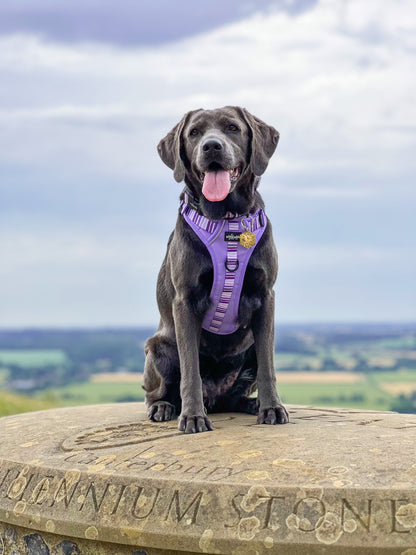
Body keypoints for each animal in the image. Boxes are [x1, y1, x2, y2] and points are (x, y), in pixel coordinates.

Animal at [143, 105, 290, 434]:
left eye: (232, 128)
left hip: (247, 349)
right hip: (159, 348)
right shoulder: (185, 302)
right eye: (194, 133)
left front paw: (271, 407)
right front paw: (193, 417)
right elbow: (191, 371)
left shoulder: (266, 297)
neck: (227, 220)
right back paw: (164, 407)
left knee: (236, 394)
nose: (211, 146)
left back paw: (251, 404)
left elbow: (269, 365)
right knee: (157, 392)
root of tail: (216, 399)